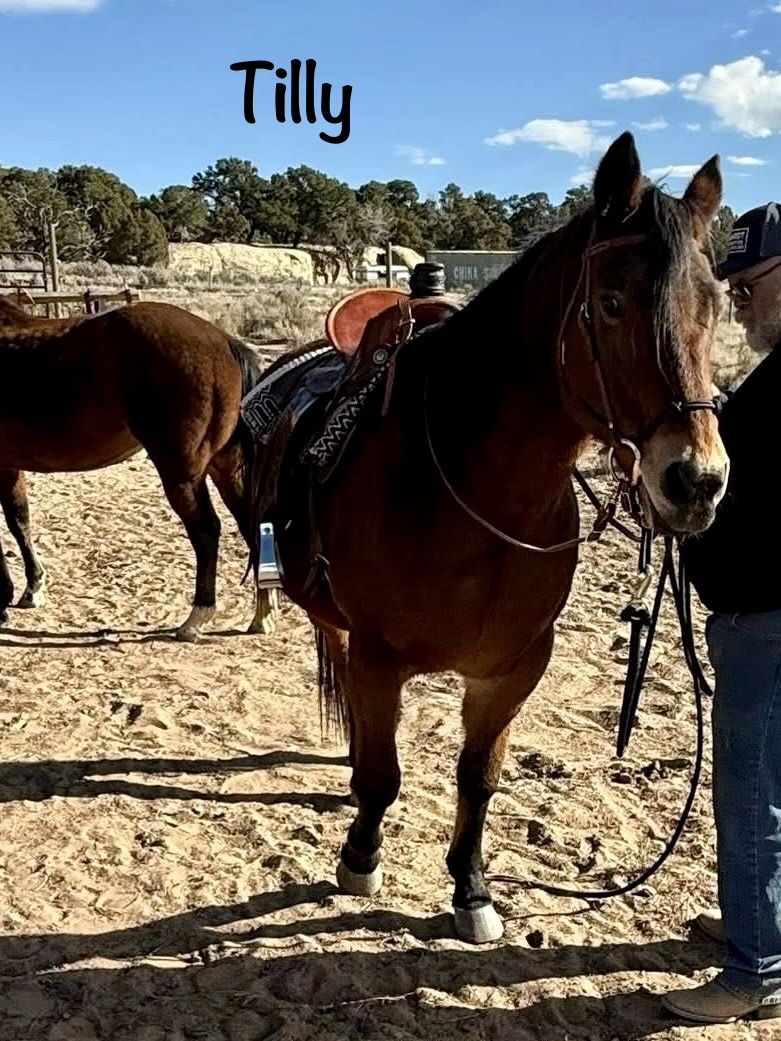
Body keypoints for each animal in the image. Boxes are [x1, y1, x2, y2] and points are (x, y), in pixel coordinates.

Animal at [0, 293, 274, 640]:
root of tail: (224, 341)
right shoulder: (8, 465)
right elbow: (19, 520)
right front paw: (31, 588)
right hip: (225, 467)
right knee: (252, 523)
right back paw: (262, 614)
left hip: (182, 473)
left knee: (206, 531)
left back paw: (196, 617)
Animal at [244, 132, 730, 943]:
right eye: (610, 303)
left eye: (717, 304)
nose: (695, 480)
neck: (474, 498)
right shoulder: (380, 658)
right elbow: (386, 775)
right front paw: (361, 856)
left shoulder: (512, 667)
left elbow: (479, 777)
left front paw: (470, 889)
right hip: (333, 621)